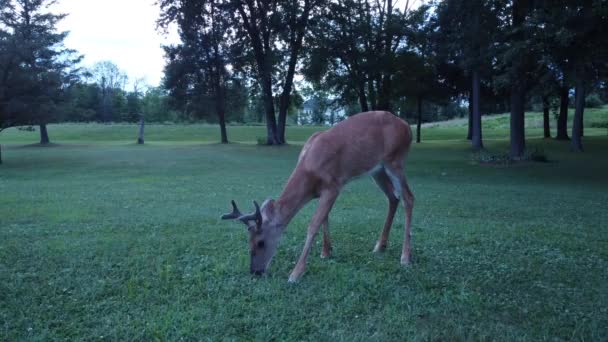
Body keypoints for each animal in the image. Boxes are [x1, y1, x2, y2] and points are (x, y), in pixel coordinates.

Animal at [221, 111, 416, 282]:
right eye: (248, 241)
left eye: (260, 243)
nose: (255, 271)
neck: (310, 168)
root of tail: (406, 126)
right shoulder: (323, 191)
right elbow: (325, 218)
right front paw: (326, 251)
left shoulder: (333, 185)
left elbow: (314, 224)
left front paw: (295, 274)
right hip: (378, 170)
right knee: (393, 197)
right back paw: (380, 246)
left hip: (396, 160)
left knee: (408, 197)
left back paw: (405, 257)